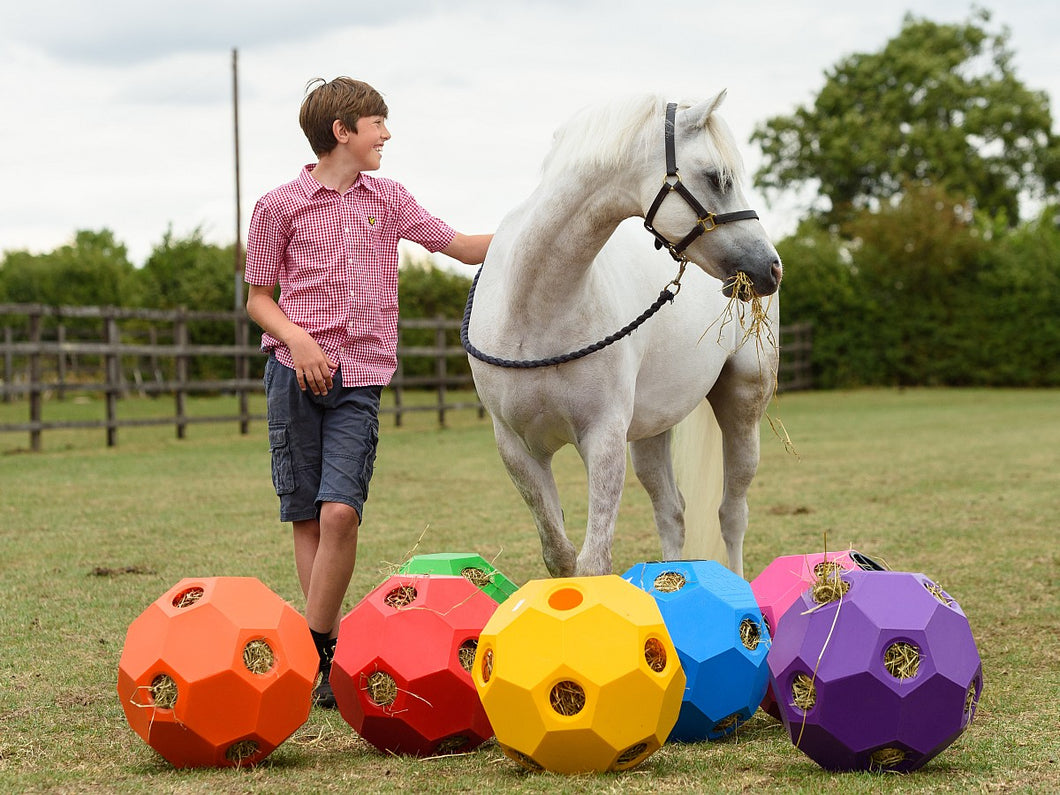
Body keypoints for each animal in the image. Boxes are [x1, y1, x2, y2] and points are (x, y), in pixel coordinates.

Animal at [464, 91, 780, 580]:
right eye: (717, 176)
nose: (771, 267)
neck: (535, 312)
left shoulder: (603, 438)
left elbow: (594, 562)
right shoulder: (517, 450)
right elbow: (559, 555)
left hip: (743, 408)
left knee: (732, 514)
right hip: (651, 430)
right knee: (672, 513)